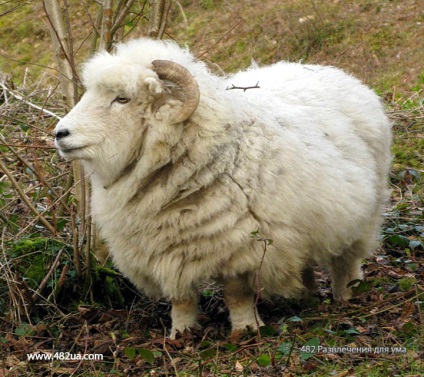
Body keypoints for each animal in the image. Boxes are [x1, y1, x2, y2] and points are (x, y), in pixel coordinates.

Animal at [54, 38, 392, 338]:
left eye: (122, 99)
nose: (60, 133)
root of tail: (336, 72)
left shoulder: (240, 247)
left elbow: (236, 294)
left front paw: (246, 330)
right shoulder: (167, 250)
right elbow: (182, 298)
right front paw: (181, 333)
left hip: (363, 211)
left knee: (346, 259)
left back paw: (346, 294)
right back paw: (302, 296)